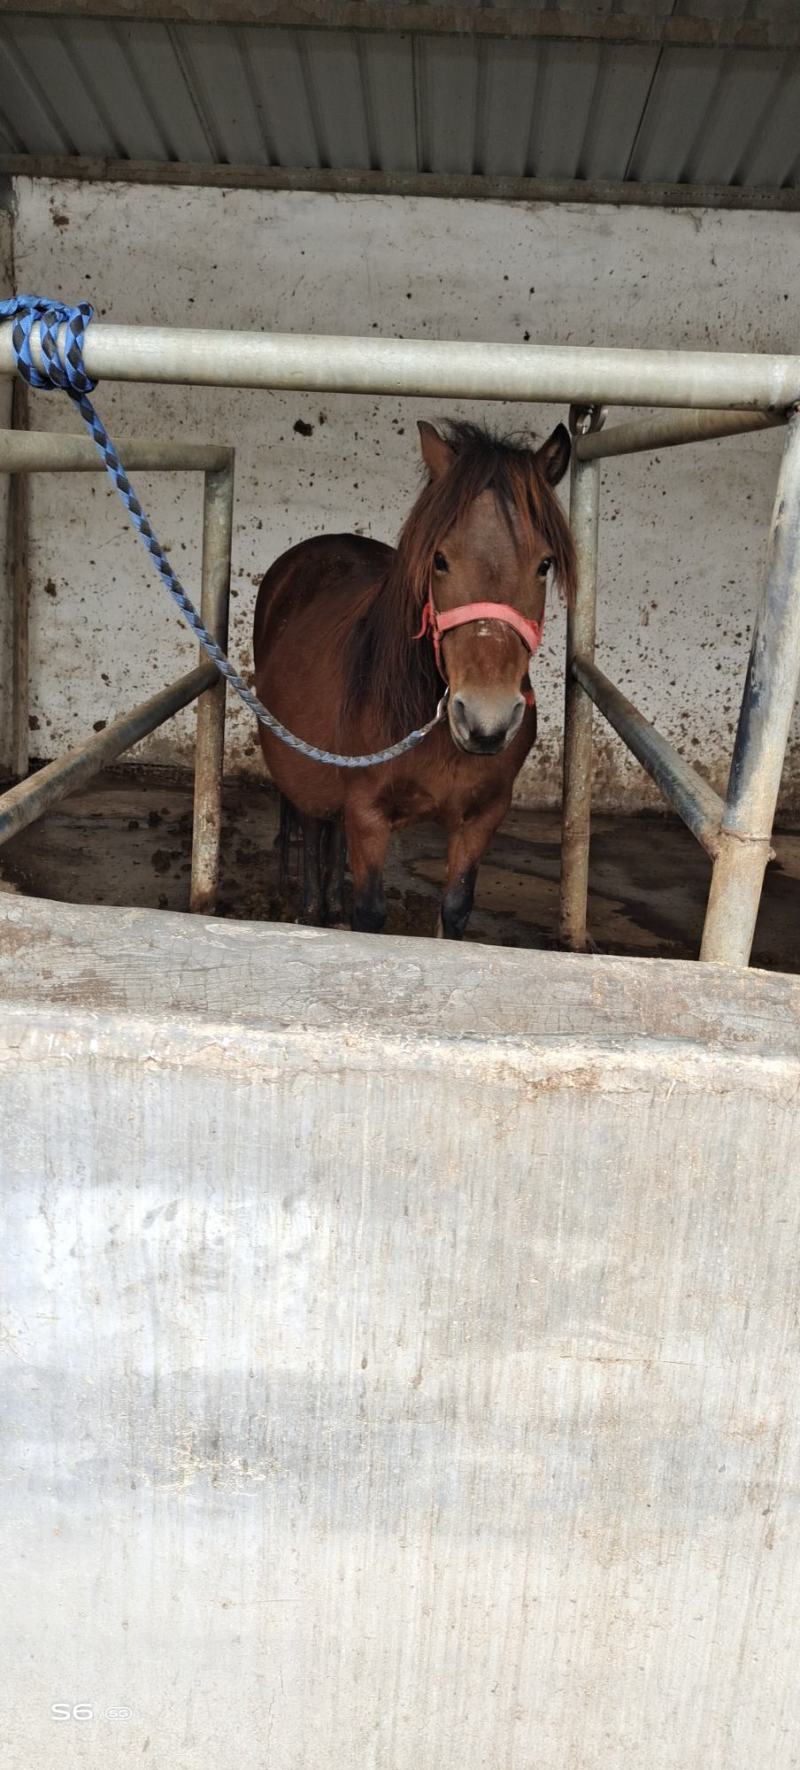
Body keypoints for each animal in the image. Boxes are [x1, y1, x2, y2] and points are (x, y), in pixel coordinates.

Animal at [253, 418, 576, 939]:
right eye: (440, 560)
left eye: (544, 564)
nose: (485, 721)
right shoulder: (368, 813)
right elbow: (369, 912)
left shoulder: (482, 817)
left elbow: (456, 908)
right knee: (315, 827)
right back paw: (312, 910)